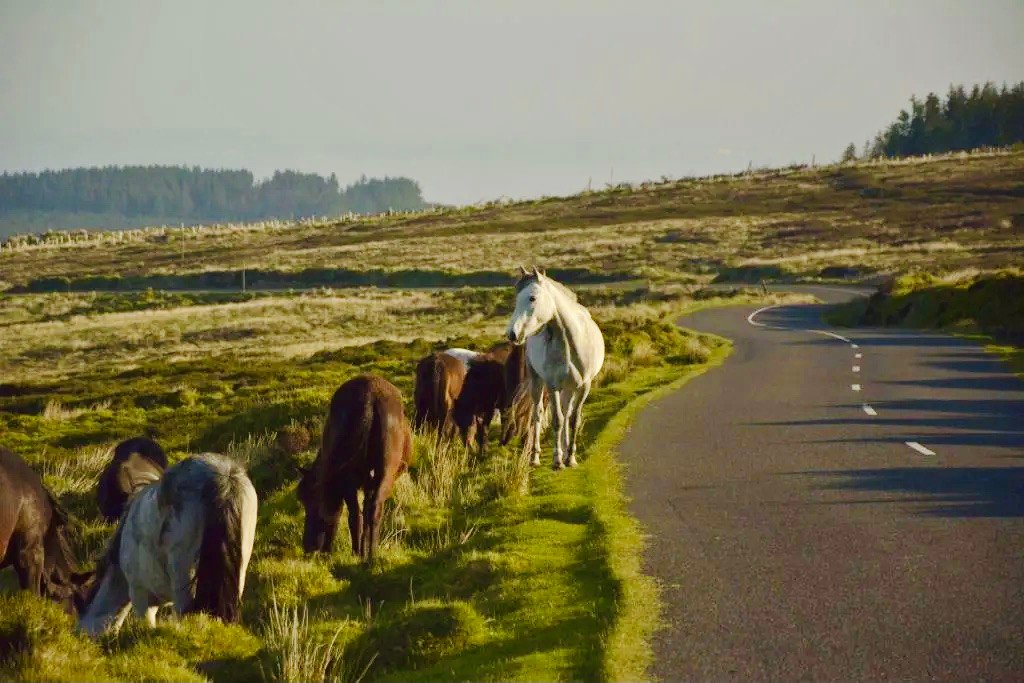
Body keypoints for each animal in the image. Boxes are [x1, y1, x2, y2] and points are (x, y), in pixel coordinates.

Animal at [297, 375, 411, 563]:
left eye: (312, 500)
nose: (307, 546)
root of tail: (371, 397)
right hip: (383, 471)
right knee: (370, 510)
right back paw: (370, 553)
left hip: (353, 476)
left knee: (359, 513)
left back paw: (361, 553)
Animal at [506, 267, 605, 469]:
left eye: (532, 298)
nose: (512, 334)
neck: (571, 342)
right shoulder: (553, 386)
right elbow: (557, 420)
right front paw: (557, 460)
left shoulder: (584, 386)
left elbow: (573, 420)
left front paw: (571, 457)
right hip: (537, 382)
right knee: (537, 414)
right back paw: (535, 457)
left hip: (570, 388)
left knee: (567, 413)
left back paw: (567, 450)